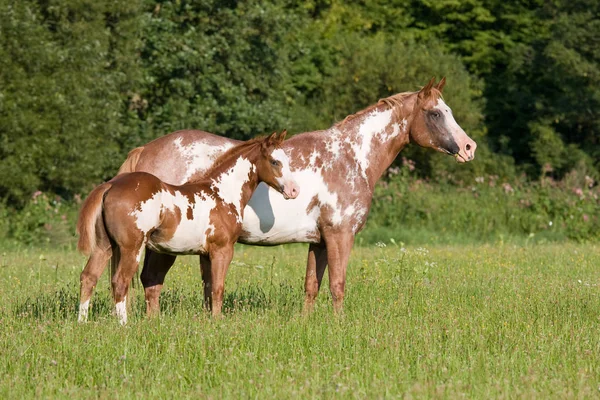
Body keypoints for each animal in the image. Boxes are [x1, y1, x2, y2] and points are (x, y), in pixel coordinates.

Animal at [76, 131, 298, 324]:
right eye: (275, 161)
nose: (294, 191)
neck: (221, 192)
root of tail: (111, 185)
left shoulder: (207, 254)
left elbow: (209, 288)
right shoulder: (222, 250)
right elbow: (218, 288)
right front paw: (218, 322)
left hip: (104, 247)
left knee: (89, 277)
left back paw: (82, 323)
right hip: (132, 249)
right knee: (120, 282)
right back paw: (124, 325)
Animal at [119, 78, 476, 314]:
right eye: (435, 113)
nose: (468, 147)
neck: (351, 156)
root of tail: (146, 151)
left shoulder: (319, 241)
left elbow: (311, 286)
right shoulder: (340, 235)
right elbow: (337, 286)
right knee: (151, 281)